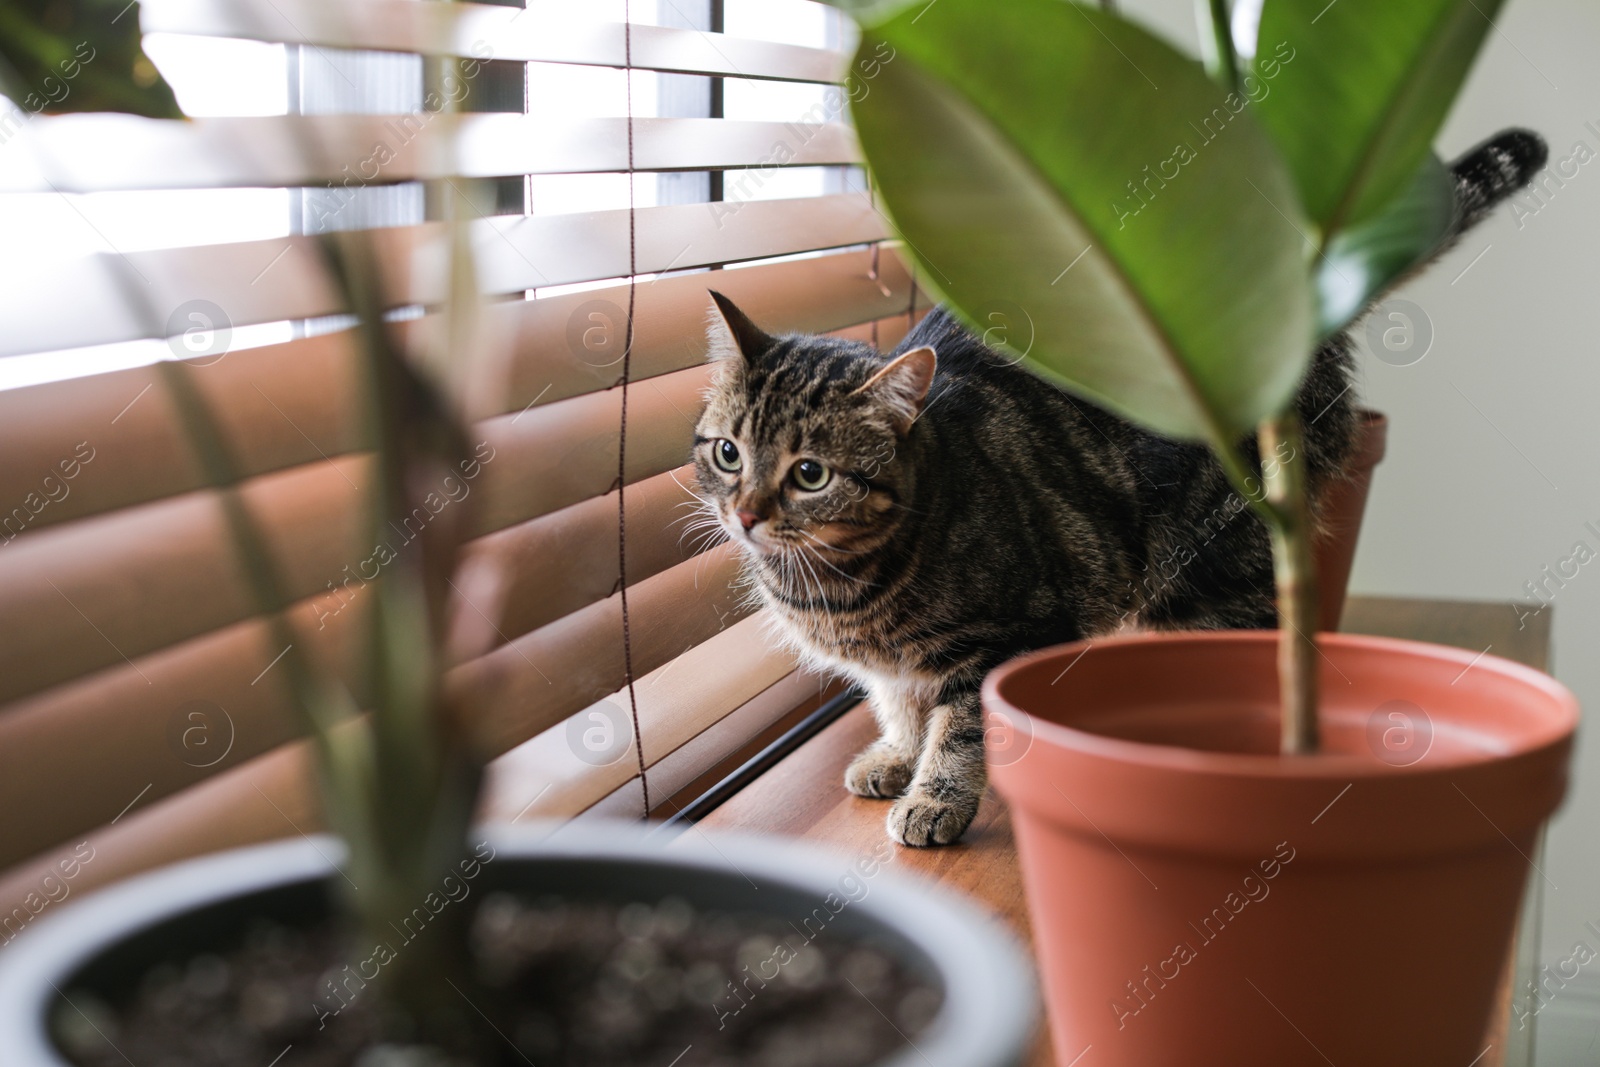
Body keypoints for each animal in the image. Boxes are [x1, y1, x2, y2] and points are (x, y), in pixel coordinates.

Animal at [691, 131, 1548, 851]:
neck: (843, 586)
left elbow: (960, 730)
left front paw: (935, 798)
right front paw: (896, 757)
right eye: (729, 453)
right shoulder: (890, 668)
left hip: (1210, 573)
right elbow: (899, 703)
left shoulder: (1009, 633)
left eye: (809, 473)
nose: (746, 513)